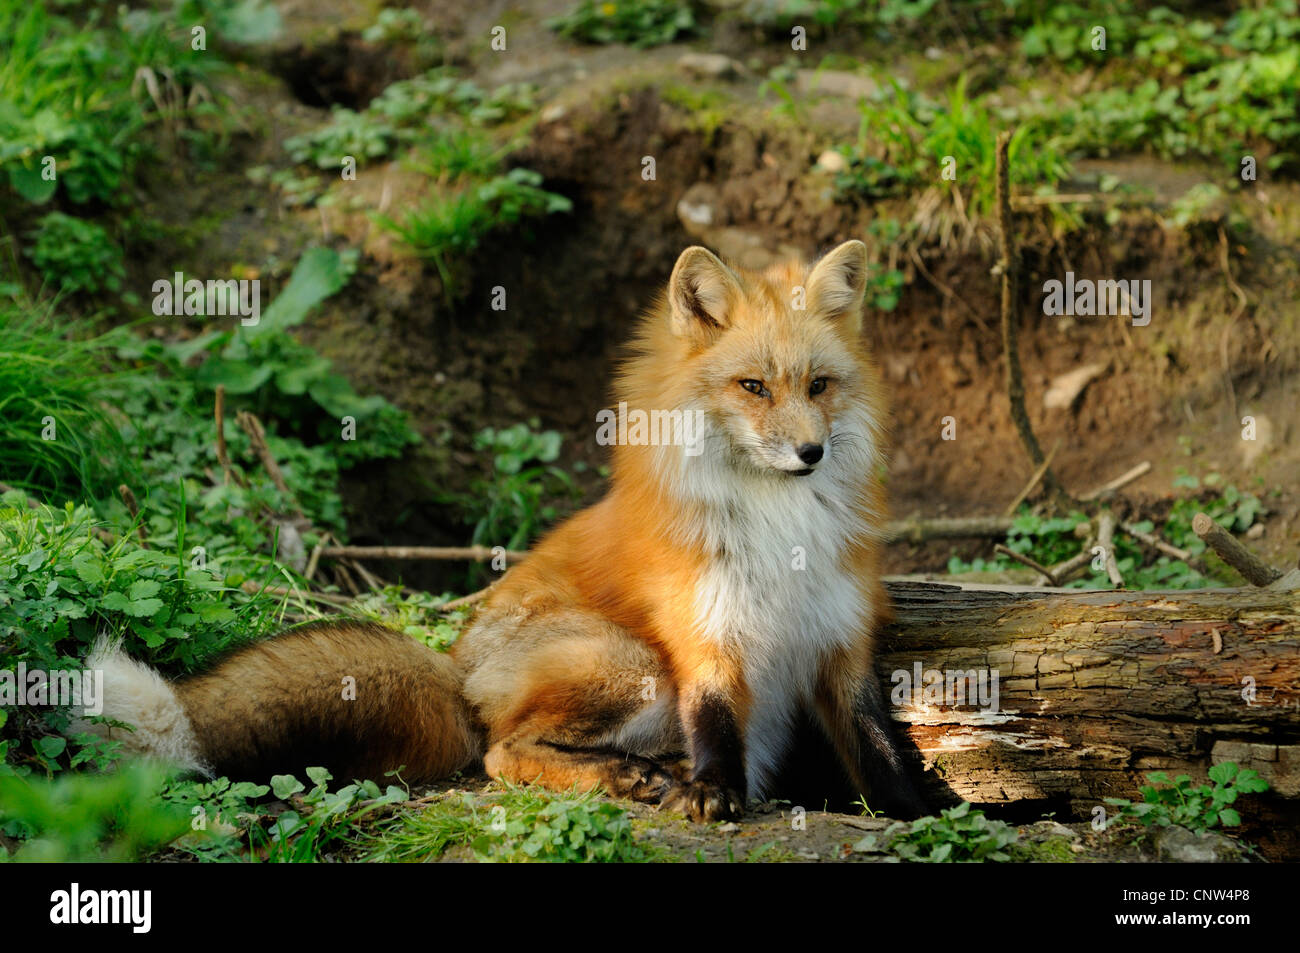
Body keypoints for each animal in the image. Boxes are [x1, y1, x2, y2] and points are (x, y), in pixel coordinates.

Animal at [89, 237, 925, 816]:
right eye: (752, 387)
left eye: (819, 386)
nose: (810, 452)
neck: (779, 525)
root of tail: (455, 667)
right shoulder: (705, 635)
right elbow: (716, 725)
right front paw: (714, 792)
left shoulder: (840, 638)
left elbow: (880, 745)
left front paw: (918, 812)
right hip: (628, 660)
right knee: (499, 753)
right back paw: (619, 774)